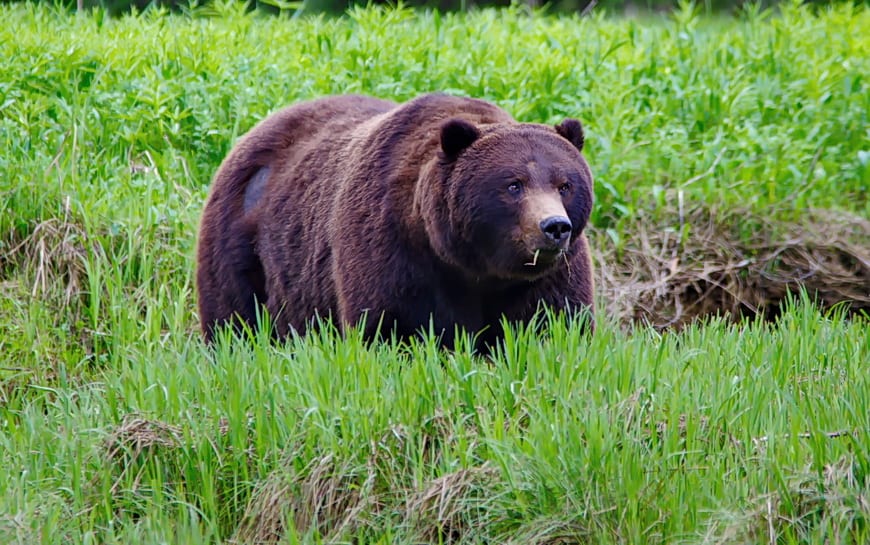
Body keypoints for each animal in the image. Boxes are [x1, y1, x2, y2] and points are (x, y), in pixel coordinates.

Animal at [195, 92, 596, 348]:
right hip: (241, 243)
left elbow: (555, 324)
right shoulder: (392, 249)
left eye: (564, 184)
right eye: (514, 184)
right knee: (233, 320)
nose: (554, 227)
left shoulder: (549, 277)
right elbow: (393, 327)